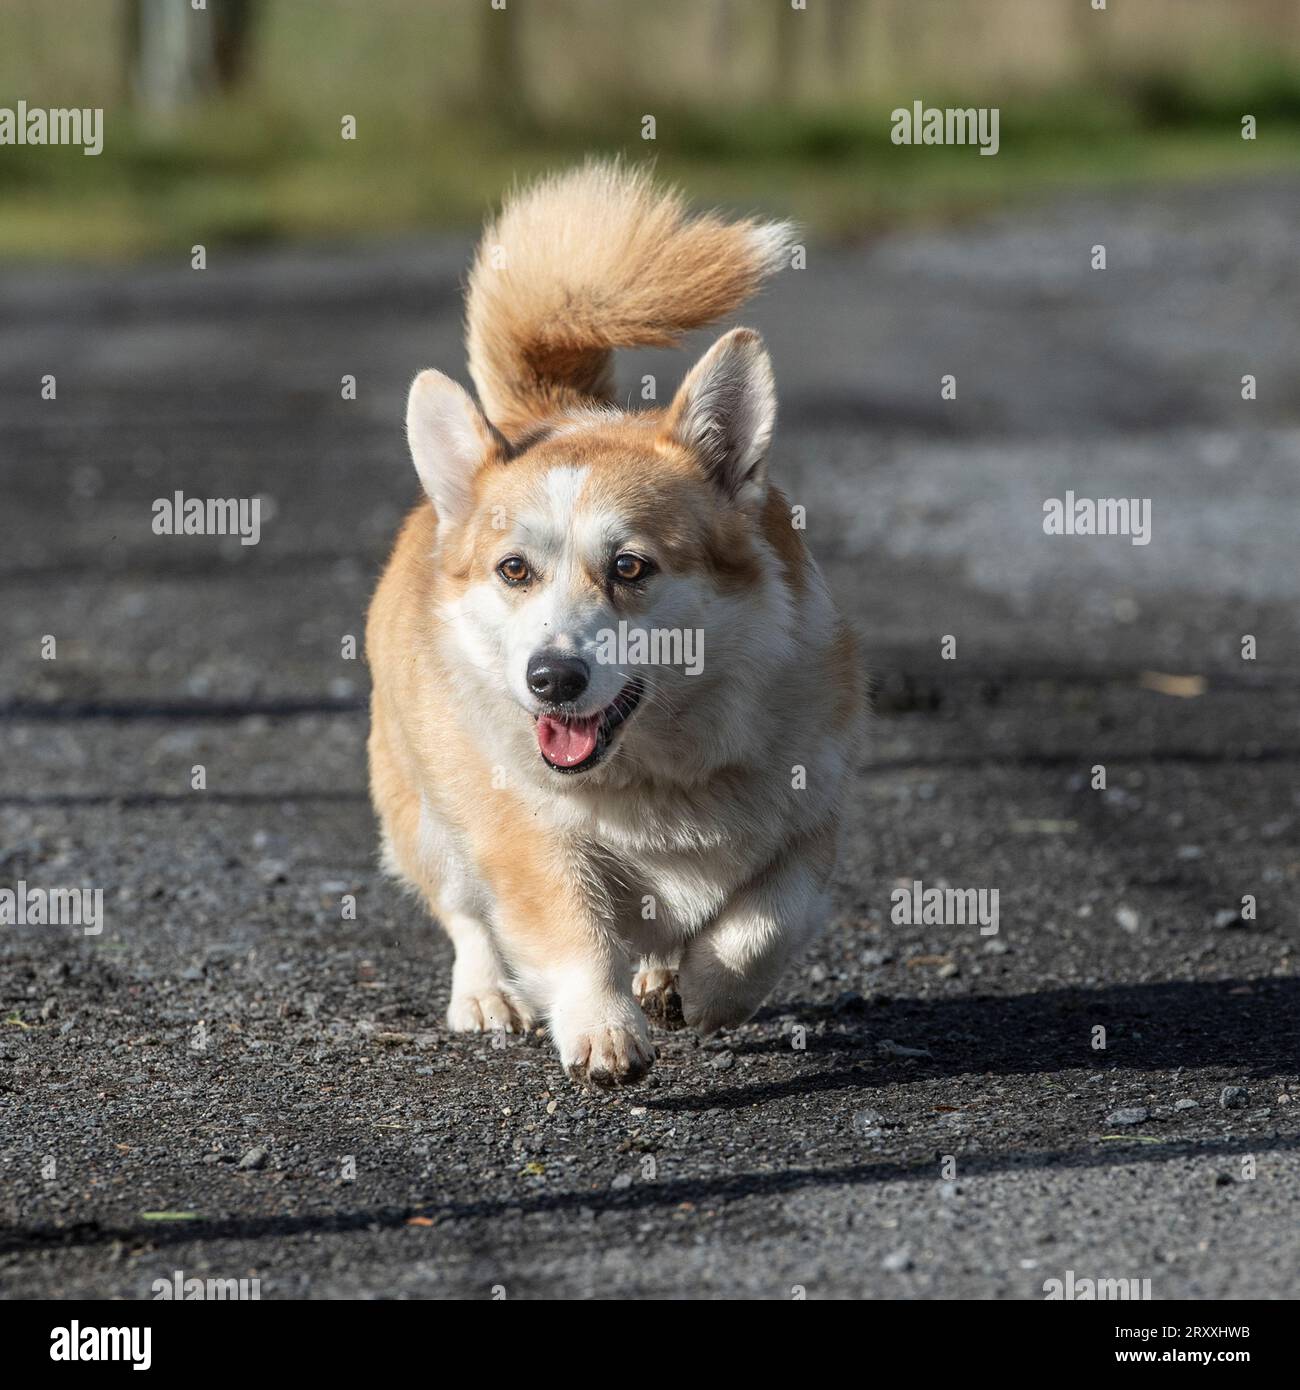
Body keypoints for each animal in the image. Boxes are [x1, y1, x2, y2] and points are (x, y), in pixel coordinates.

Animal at [367, 165, 862, 1084]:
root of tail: (553, 408)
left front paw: (704, 989)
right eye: (514, 570)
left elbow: (761, 924)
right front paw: (603, 1029)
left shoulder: (812, 823)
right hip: (422, 811)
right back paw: (488, 997)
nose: (551, 680)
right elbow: (572, 932)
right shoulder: (529, 844)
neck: (659, 773)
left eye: (630, 567)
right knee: (464, 914)